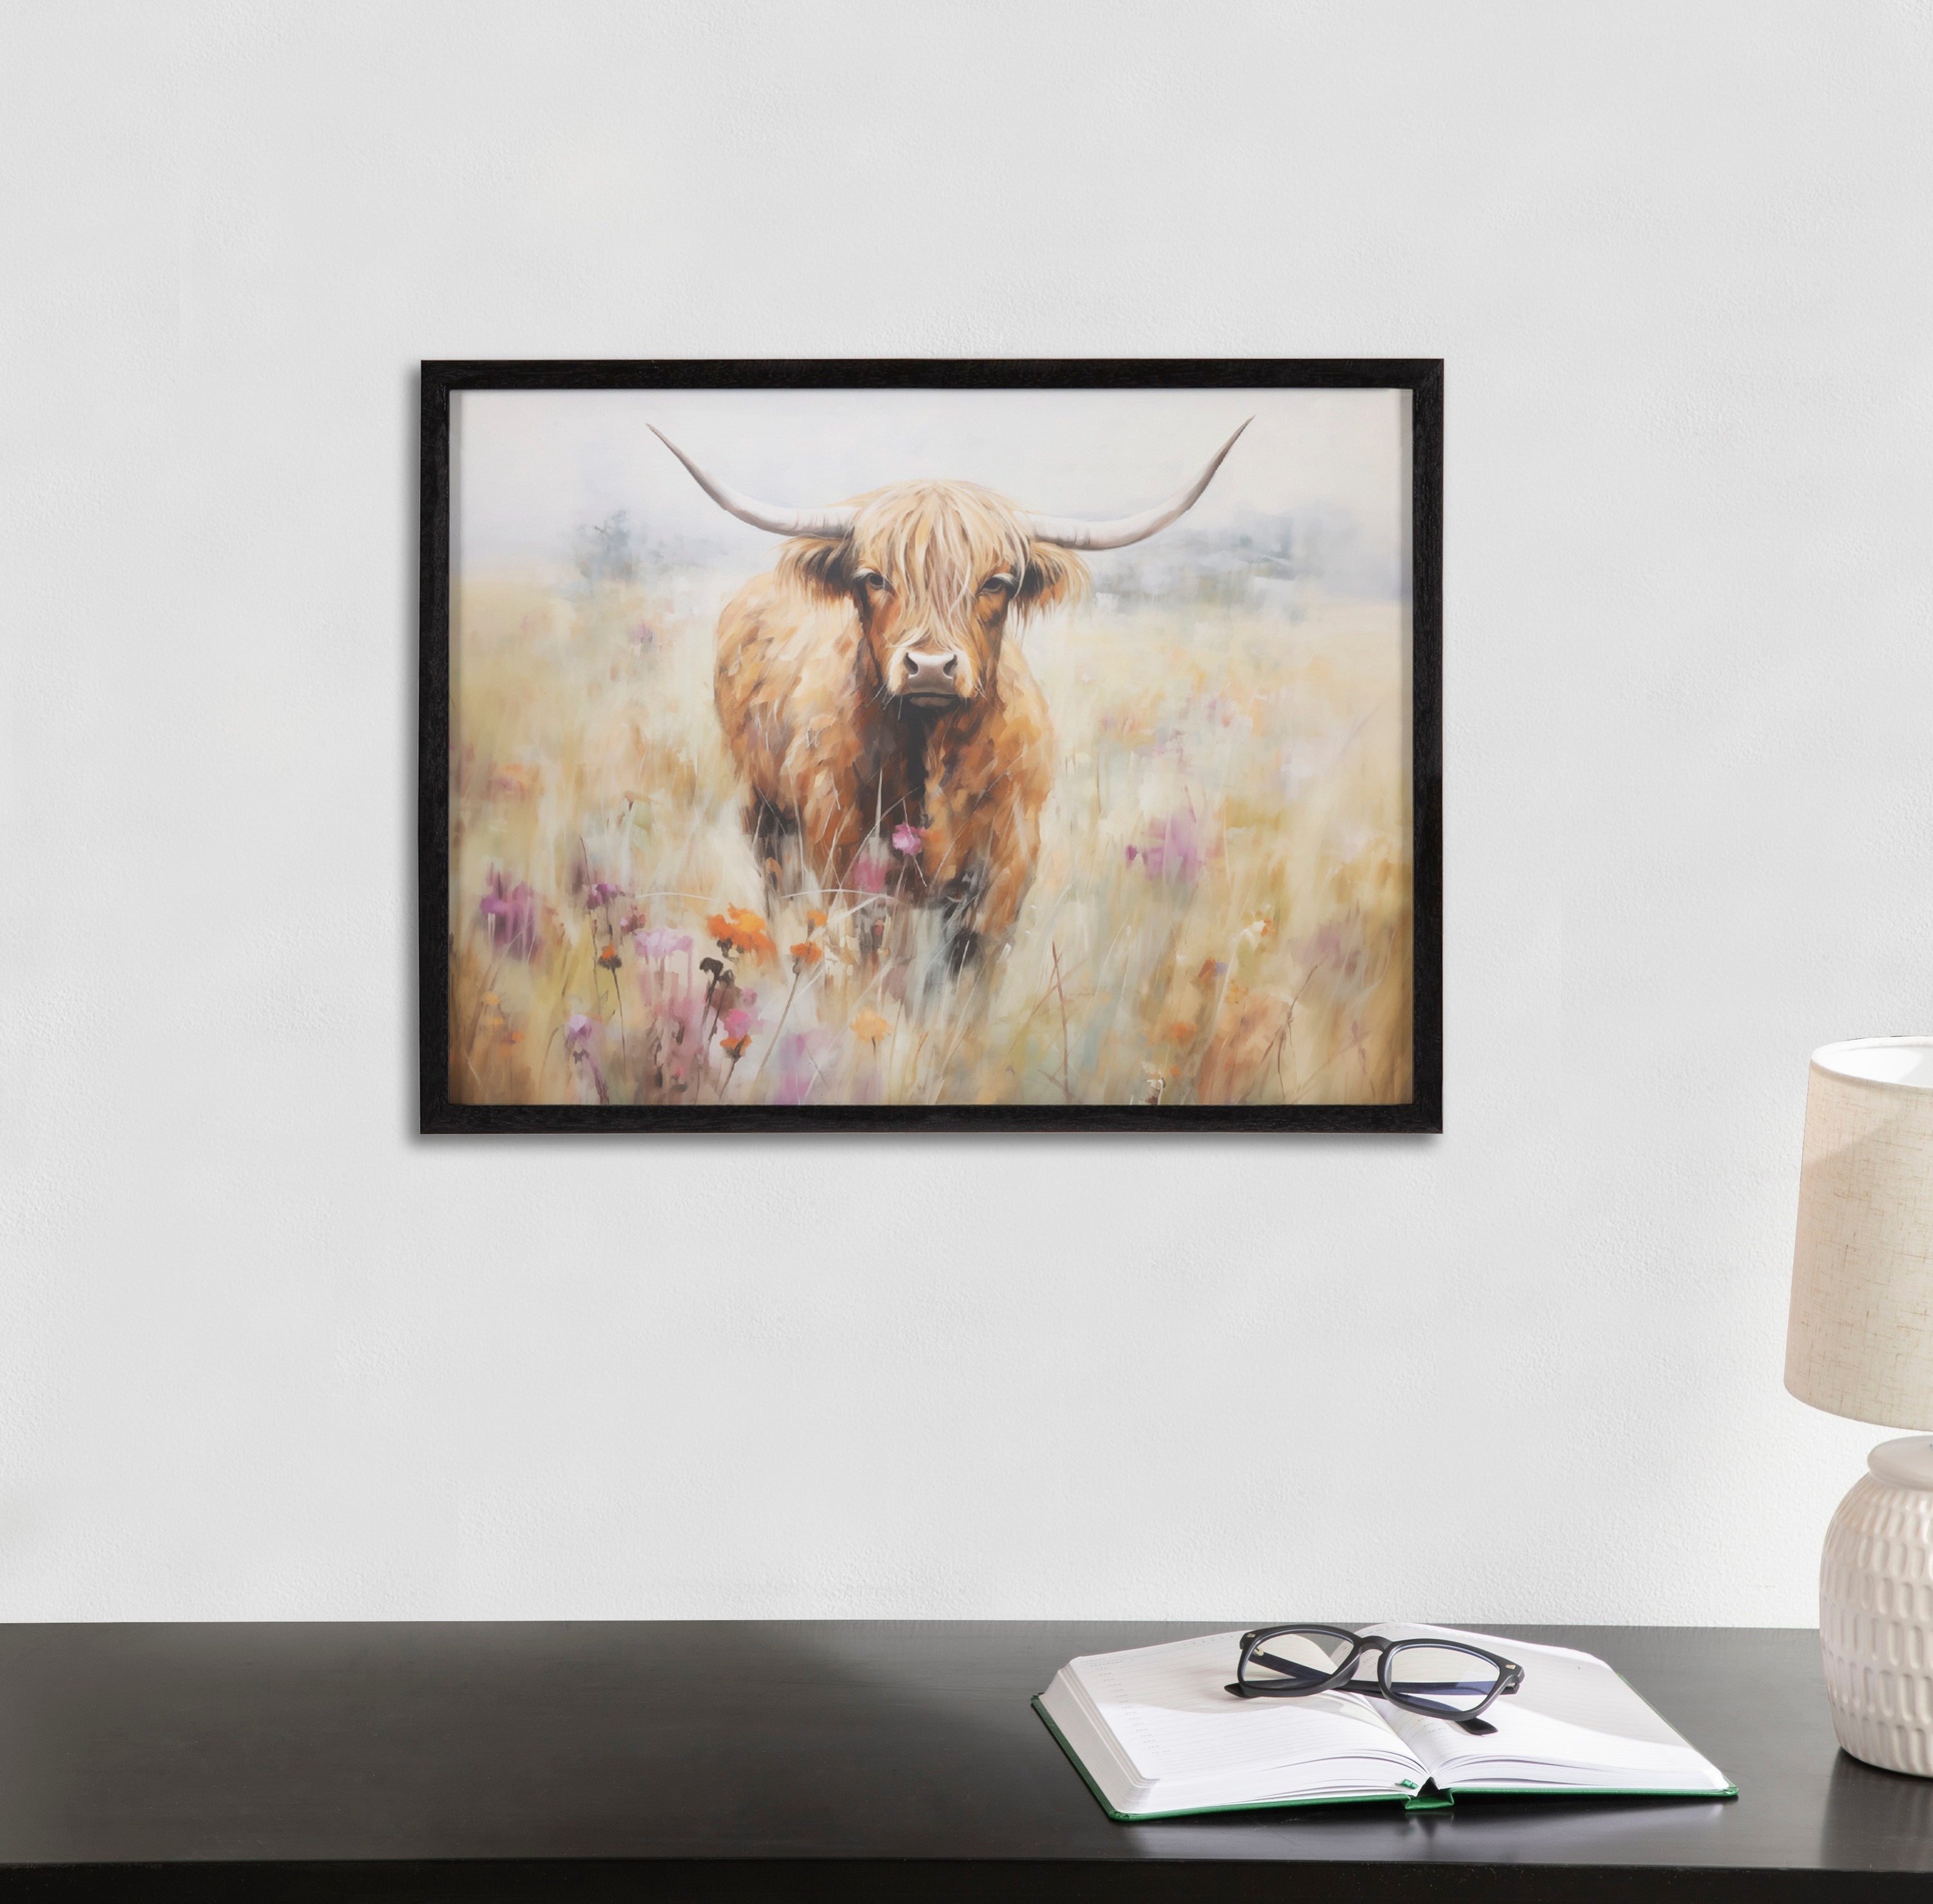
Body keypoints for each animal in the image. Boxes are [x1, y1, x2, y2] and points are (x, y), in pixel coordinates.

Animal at [652, 420, 1249, 971]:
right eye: (874, 578)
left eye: (996, 583)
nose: (932, 668)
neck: (932, 751)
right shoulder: (848, 862)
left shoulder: (1004, 874)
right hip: (764, 808)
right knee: (779, 890)